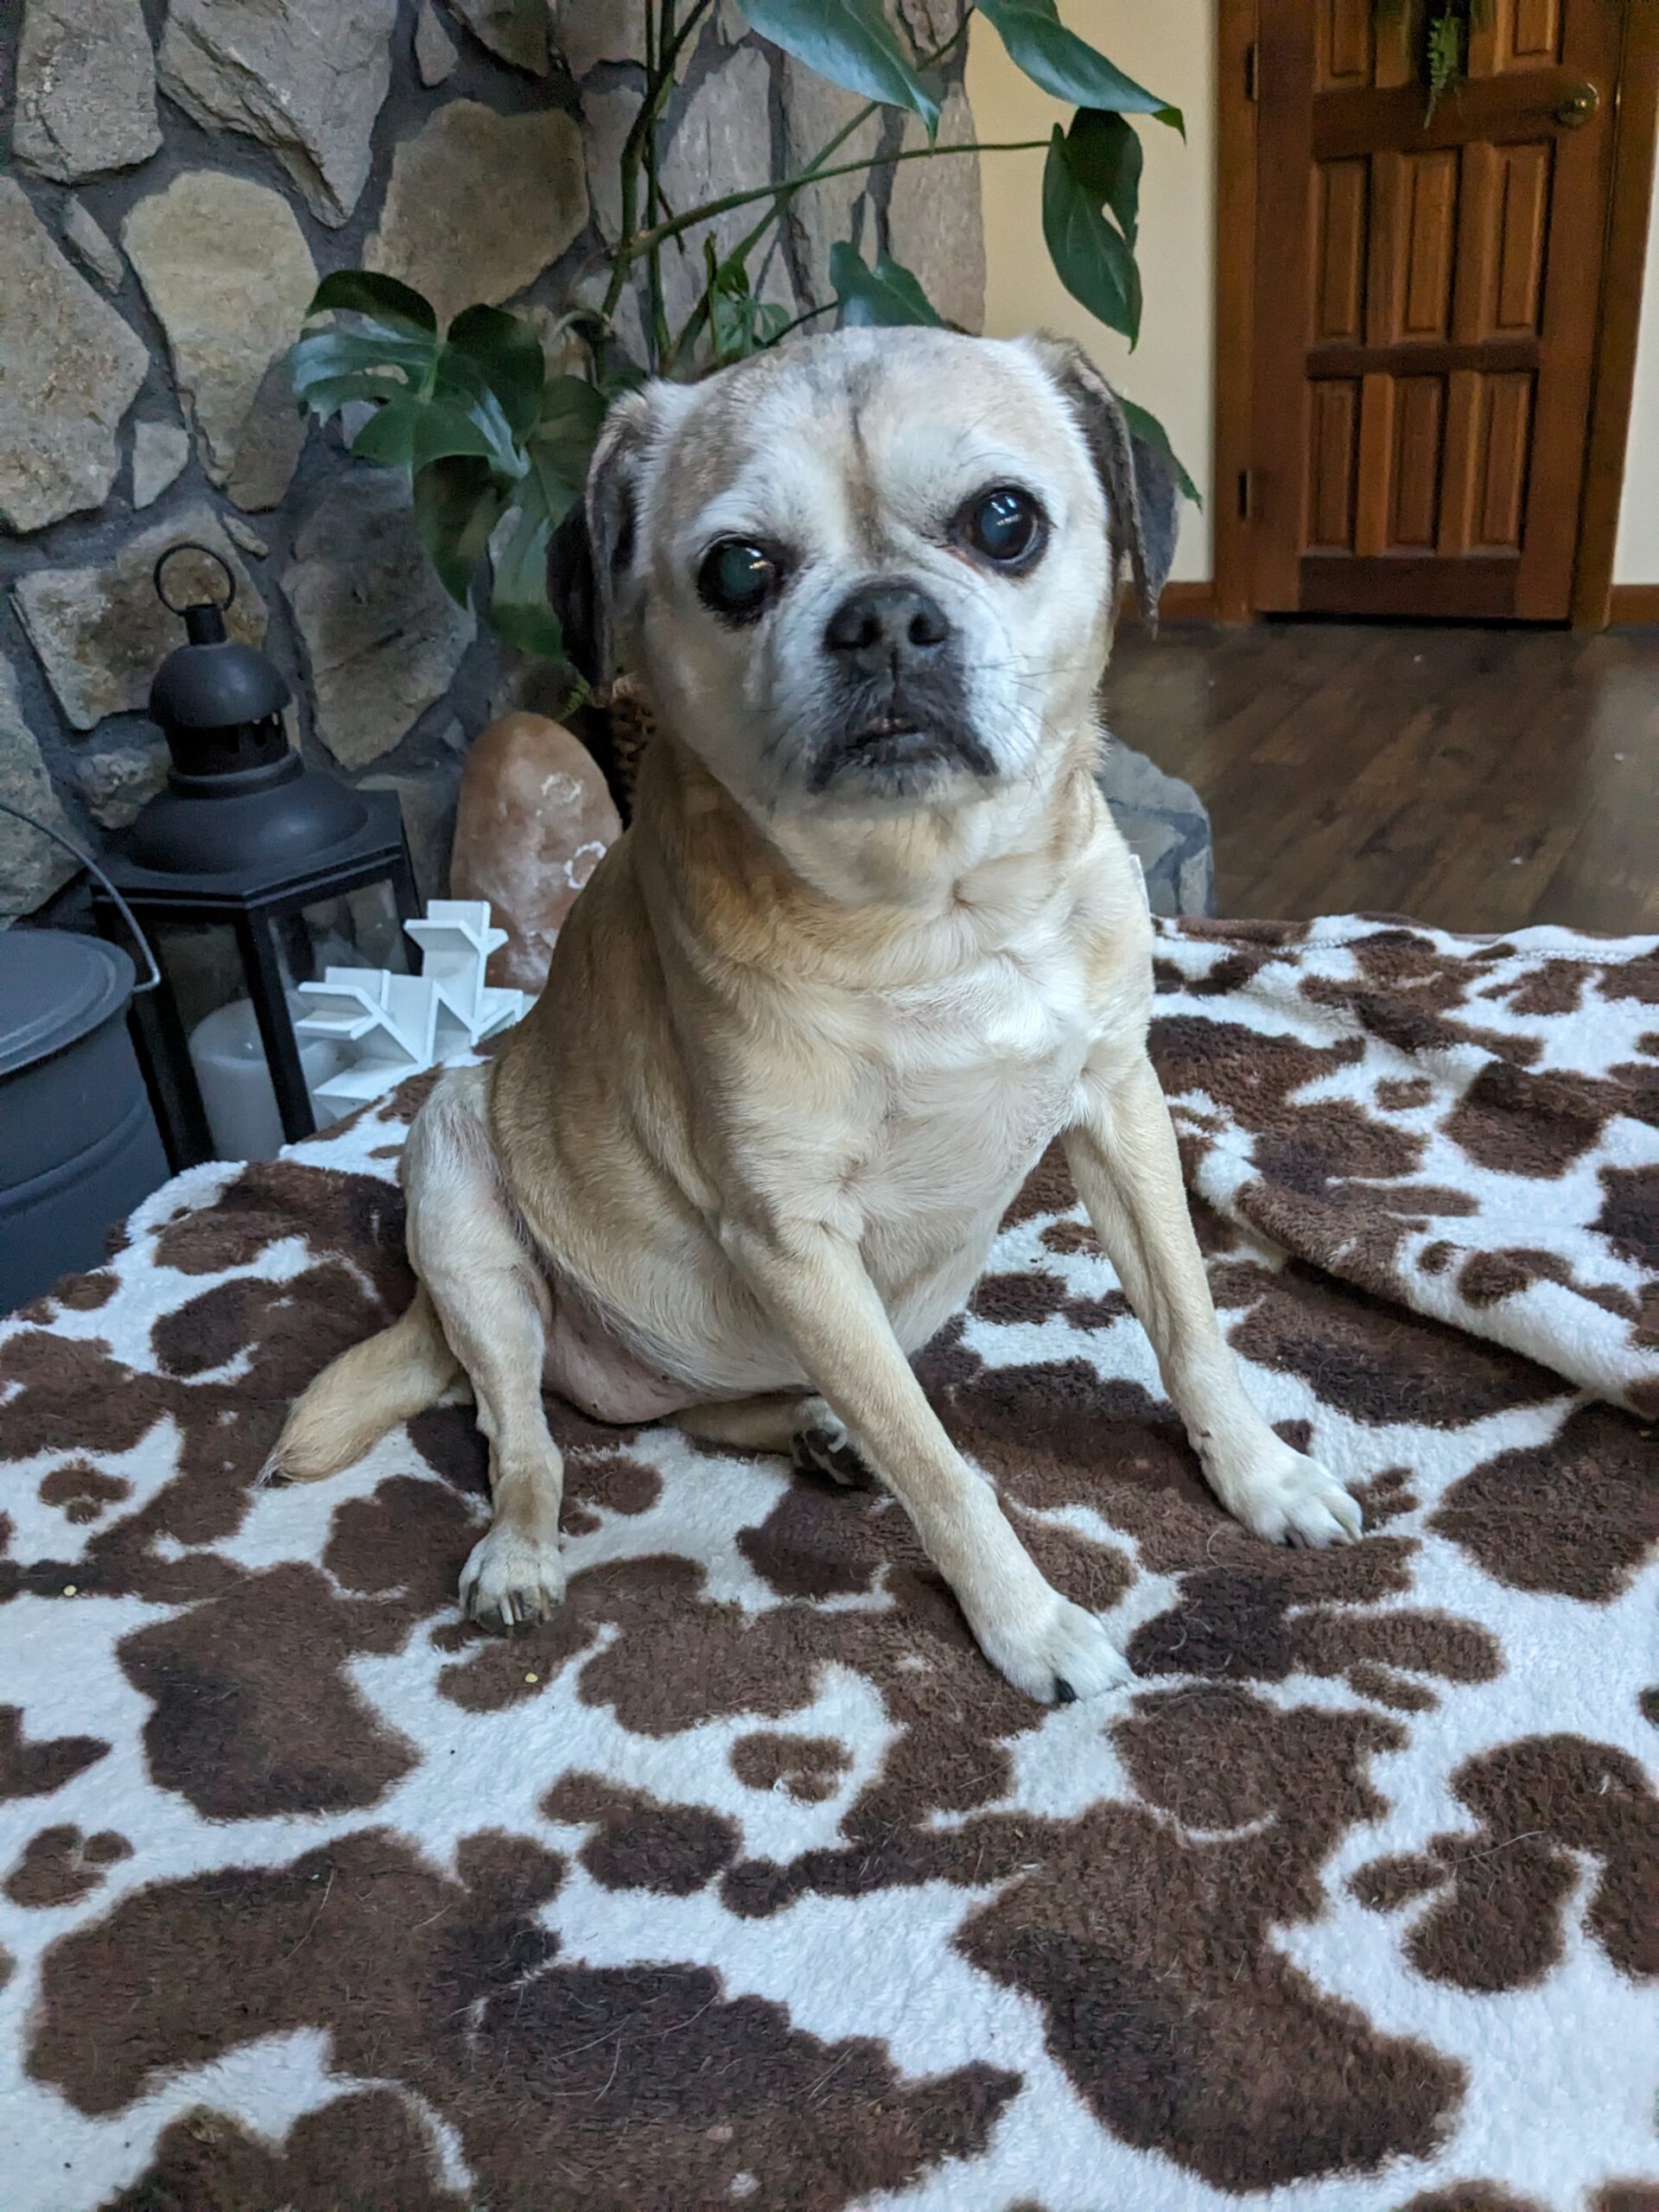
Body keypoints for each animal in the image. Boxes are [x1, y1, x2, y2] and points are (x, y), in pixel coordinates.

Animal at [269, 327, 1361, 1702]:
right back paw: (525, 1551)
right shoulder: (794, 1239)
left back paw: (809, 1424)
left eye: (1005, 522)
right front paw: (1026, 1623)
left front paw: (1260, 1476)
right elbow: (940, 1467)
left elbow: (1191, 1327)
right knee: (521, 1437)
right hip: (464, 1196)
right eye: (739, 571)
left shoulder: (1120, 1113)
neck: (940, 915)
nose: (884, 614)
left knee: (716, 1402)